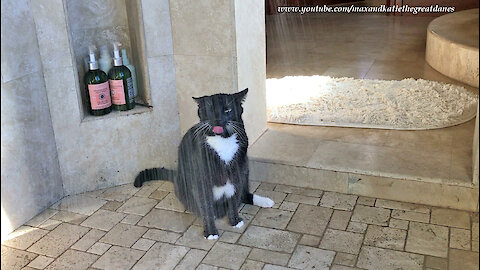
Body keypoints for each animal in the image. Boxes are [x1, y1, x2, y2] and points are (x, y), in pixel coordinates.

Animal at [134, 88, 274, 238]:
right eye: (210, 109)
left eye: (227, 110)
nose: (218, 119)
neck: (223, 140)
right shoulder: (201, 181)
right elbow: (207, 207)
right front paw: (211, 232)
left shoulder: (237, 175)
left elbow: (234, 199)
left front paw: (235, 221)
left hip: (245, 170)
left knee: (243, 195)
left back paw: (265, 201)